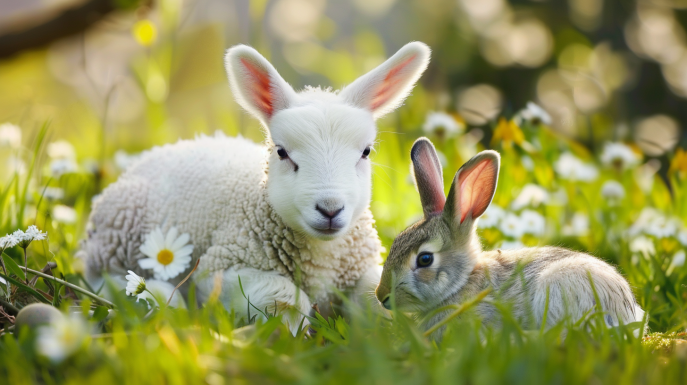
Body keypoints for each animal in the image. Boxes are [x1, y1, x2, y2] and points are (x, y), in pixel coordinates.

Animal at [79, 41, 430, 330]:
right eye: (282, 152)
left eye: (366, 151)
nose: (330, 209)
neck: (321, 258)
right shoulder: (218, 267)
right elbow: (286, 297)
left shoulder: (361, 268)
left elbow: (379, 298)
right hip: (118, 234)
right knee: (99, 277)